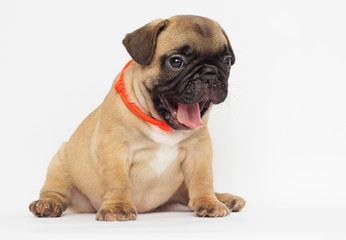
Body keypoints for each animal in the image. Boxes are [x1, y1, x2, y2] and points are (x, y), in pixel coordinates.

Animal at [29, 15, 246, 221]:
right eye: (176, 62)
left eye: (227, 62)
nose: (210, 76)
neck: (163, 125)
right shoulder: (114, 150)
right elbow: (118, 181)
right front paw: (117, 208)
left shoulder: (198, 151)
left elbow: (202, 179)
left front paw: (208, 202)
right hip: (61, 162)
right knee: (57, 190)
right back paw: (47, 204)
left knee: (187, 192)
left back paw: (225, 199)